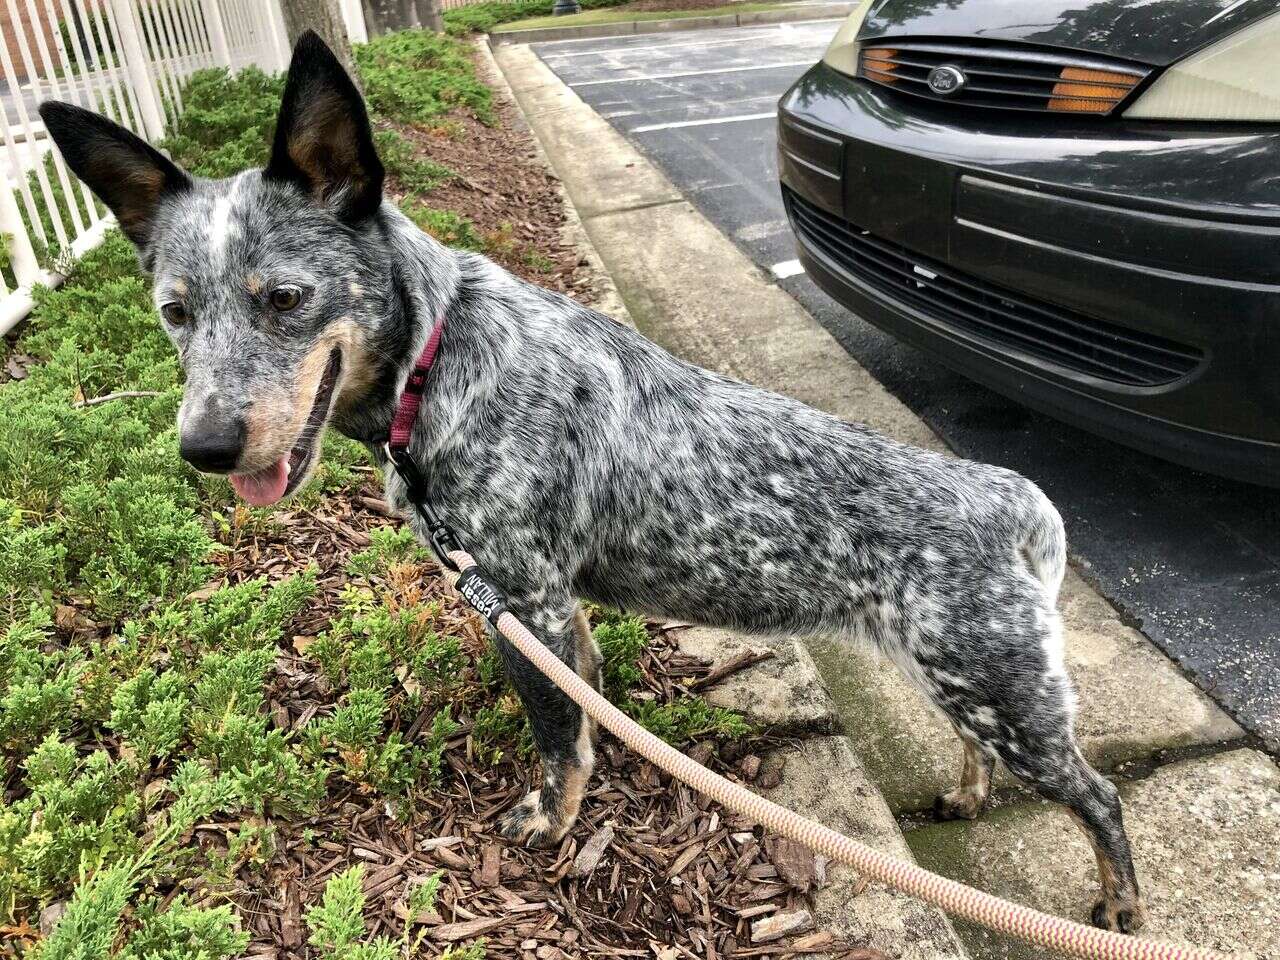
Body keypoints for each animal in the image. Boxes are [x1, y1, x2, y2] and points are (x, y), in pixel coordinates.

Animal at [37, 33, 1141, 936]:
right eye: (175, 312)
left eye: (284, 299)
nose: (204, 447)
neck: (439, 358)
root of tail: (1012, 499)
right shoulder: (554, 613)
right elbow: (586, 707)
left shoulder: (519, 602)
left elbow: (557, 743)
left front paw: (554, 822)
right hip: (958, 679)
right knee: (984, 756)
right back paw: (966, 801)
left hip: (1000, 692)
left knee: (1099, 799)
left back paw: (1119, 908)